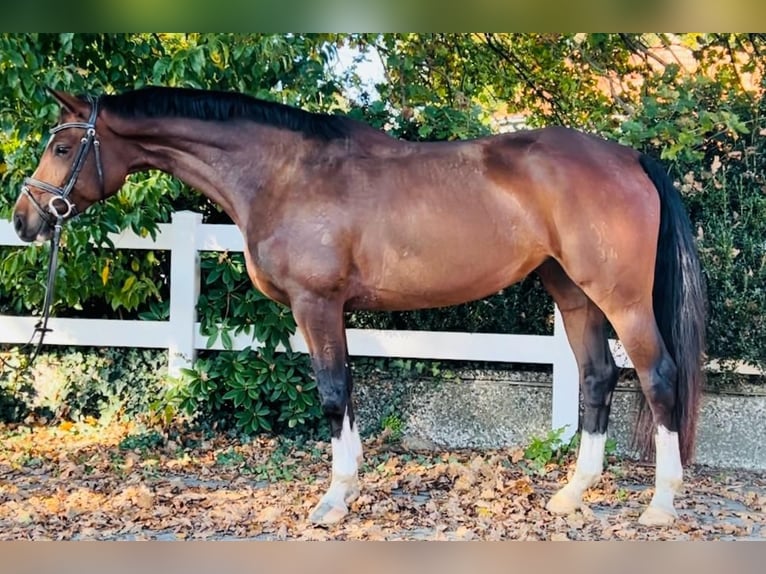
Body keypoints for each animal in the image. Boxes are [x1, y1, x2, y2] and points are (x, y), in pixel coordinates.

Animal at [12, 86, 708, 532]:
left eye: (60, 148)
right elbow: (345, 389)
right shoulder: (335, 310)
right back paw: (571, 494)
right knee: (598, 376)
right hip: (571, 292)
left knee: (657, 377)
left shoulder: (316, 304)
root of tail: (629, 156)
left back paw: (661, 504)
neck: (284, 173)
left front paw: (333, 500)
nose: (24, 220)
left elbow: (331, 392)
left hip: (619, 297)